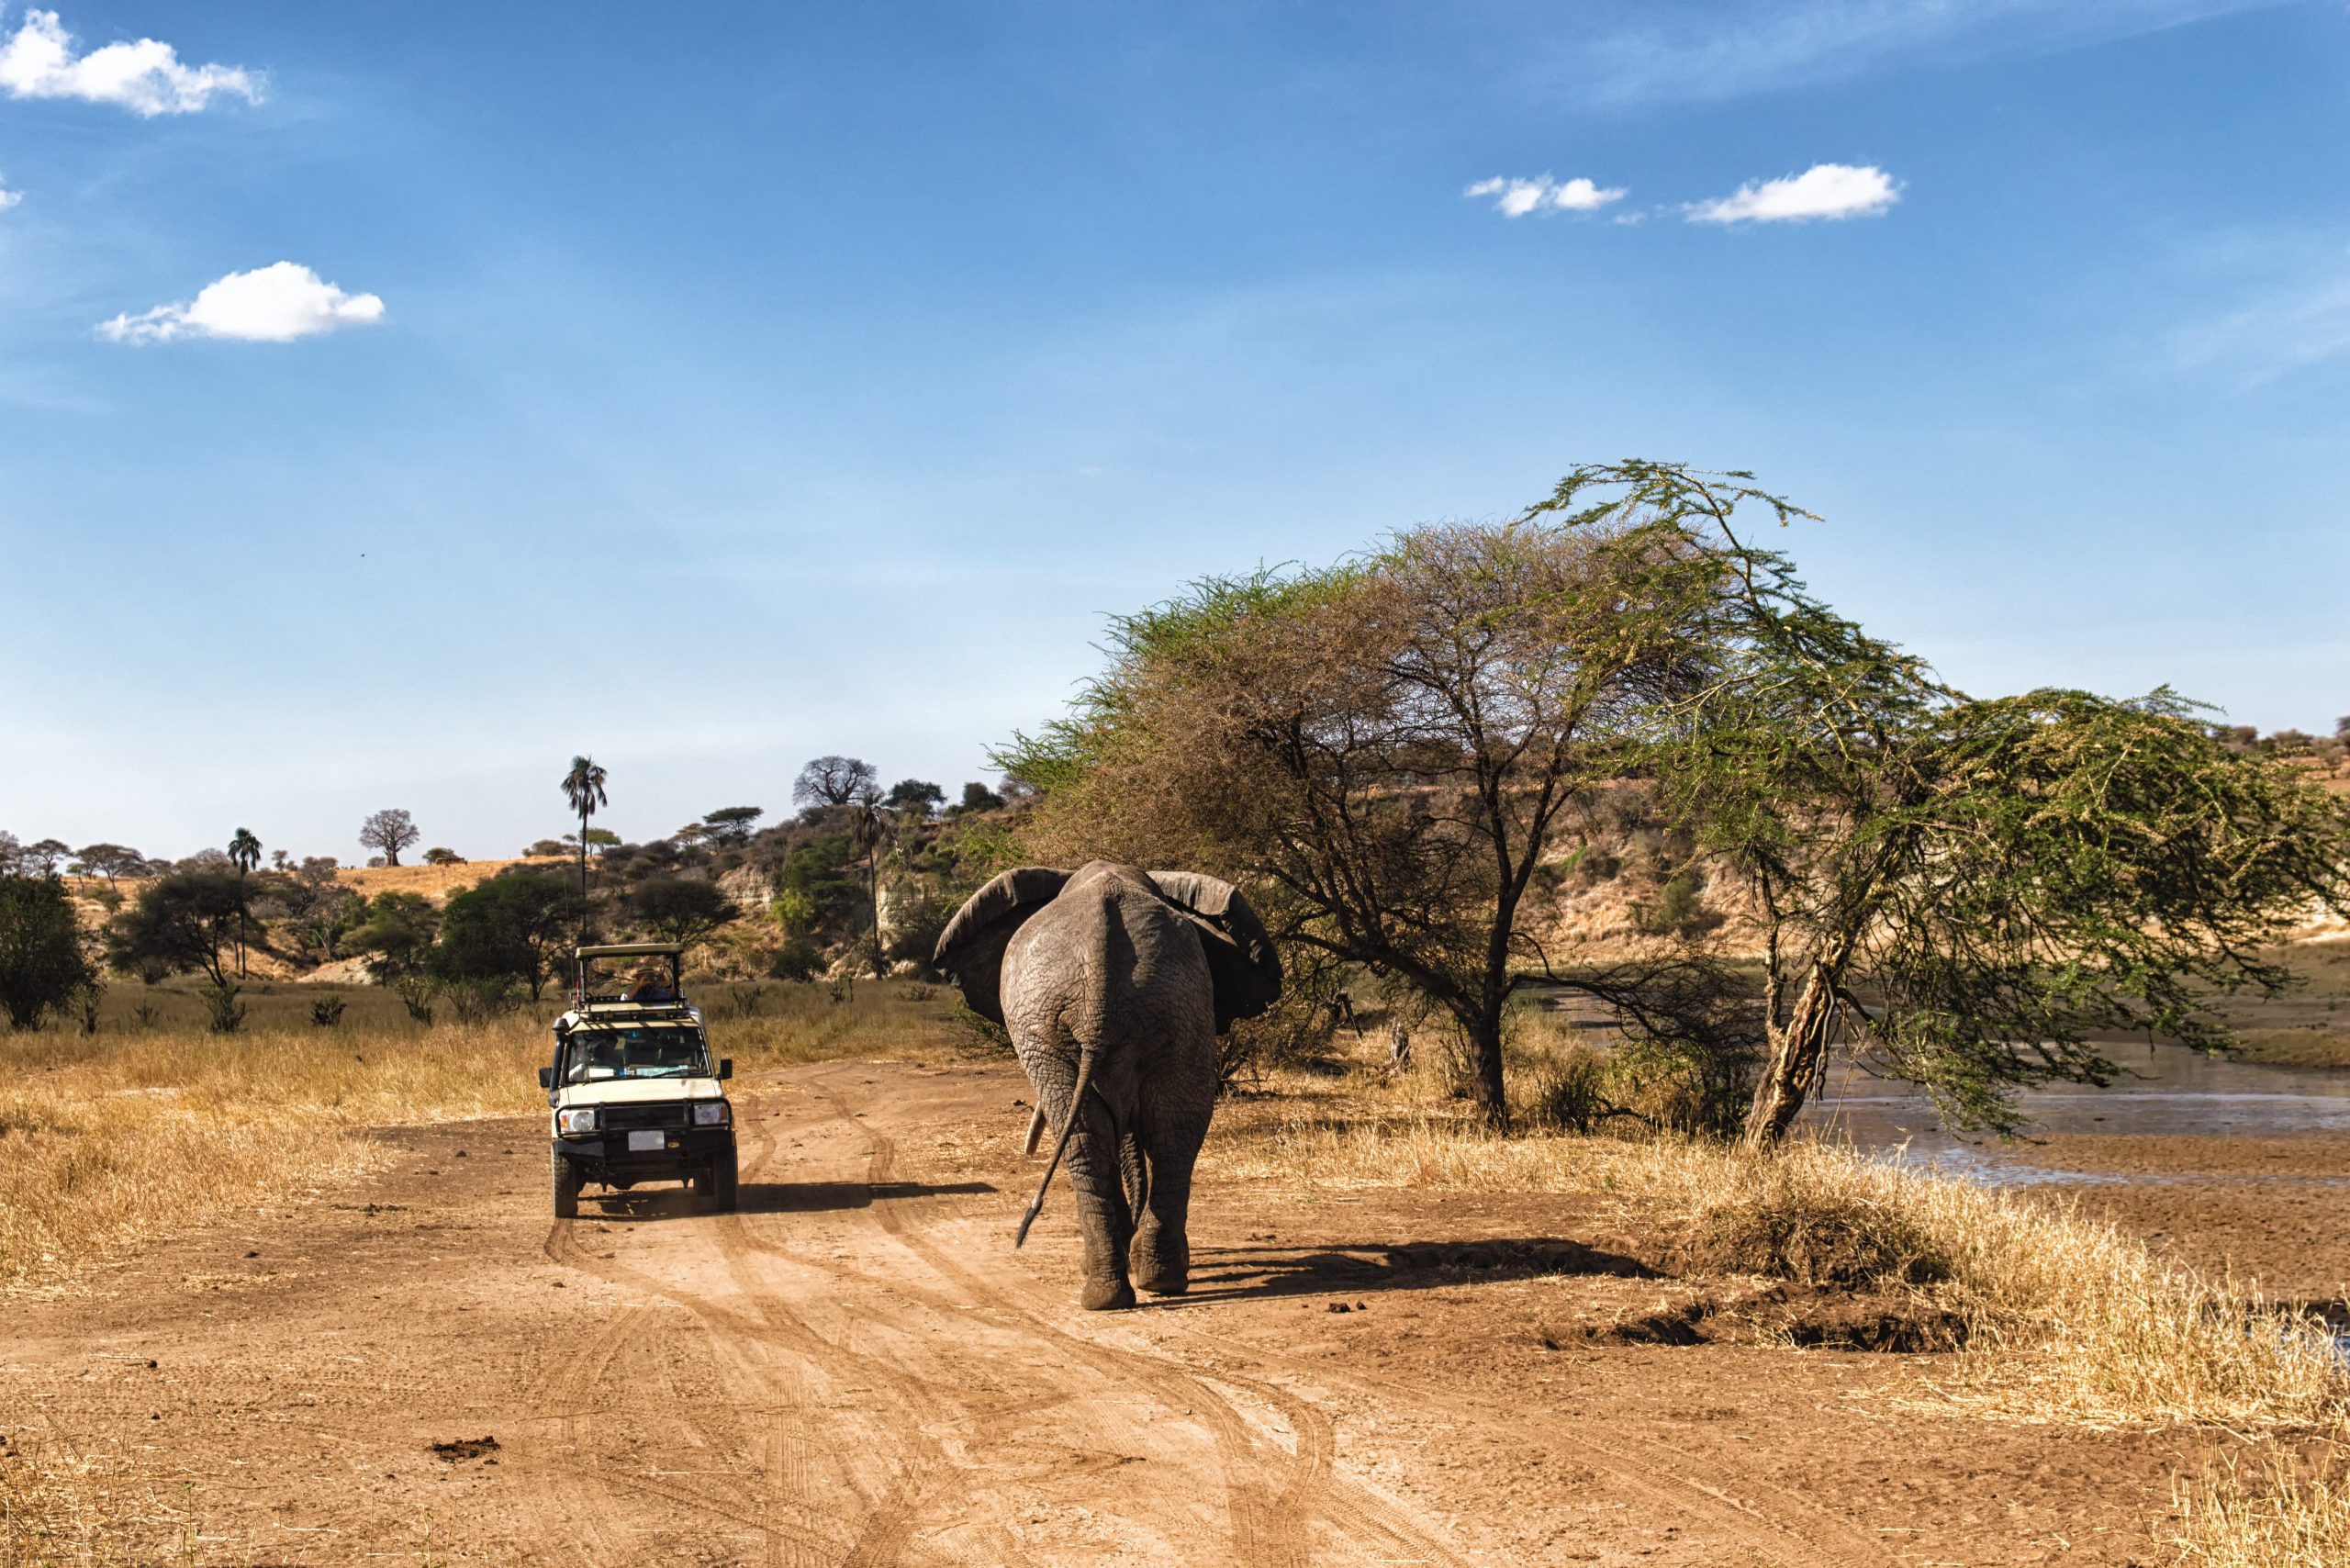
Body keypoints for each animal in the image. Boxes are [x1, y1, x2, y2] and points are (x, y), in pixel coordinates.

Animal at [930, 865, 1287, 1306]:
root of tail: (1099, 971)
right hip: (1154, 1012)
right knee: (1158, 1132)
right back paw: (1145, 1285)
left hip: (1089, 1018)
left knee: (1117, 1133)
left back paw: (1121, 1287)